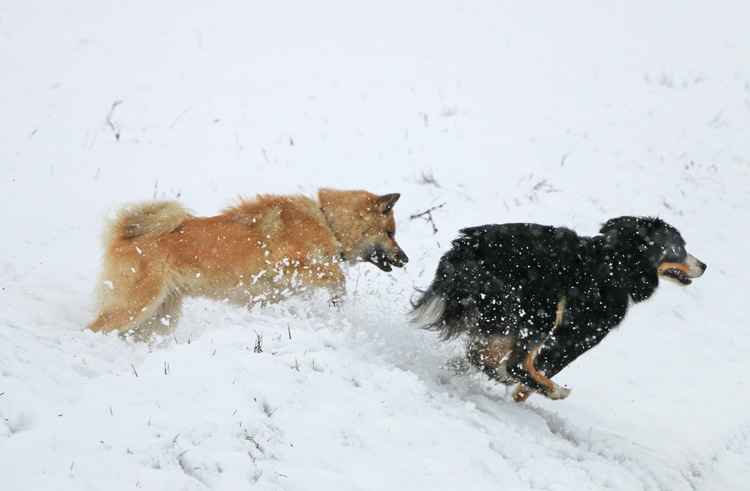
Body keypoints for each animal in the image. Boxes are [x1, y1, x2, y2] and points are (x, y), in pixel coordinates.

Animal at [88, 188, 412, 338]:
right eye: (390, 233)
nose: (406, 259)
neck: (327, 221)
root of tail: (124, 234)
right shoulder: (287, 263)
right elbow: (337, 276)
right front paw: (337, 303)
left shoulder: (272, 294)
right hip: (135, 305)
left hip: (158, 317)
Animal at [414, 217, 708, 402]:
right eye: (680, 247)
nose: (704, 265)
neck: (620, 264)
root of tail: (466, 248)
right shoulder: (582, 334)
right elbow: (539, 369)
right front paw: (525, 393)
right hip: (542, 309)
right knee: (513, 364)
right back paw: (555, 391)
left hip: (499, 315)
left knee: (482, 358)